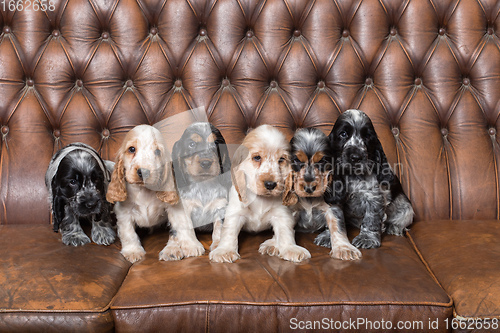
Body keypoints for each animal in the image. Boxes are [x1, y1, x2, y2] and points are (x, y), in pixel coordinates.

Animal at [107, 124, 205, 262]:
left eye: (157, 152)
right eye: (131, 149)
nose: (143, 171)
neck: (144, 191)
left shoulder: (176, 208)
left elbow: (183, 225)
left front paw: (192, 245)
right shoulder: (123, 212)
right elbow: (128, 233)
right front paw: (133, 251)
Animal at [171, 121, 231, 249]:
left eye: (216, 143)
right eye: (192, 144)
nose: (206, 163)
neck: (203, 184)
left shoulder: (220, 207)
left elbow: (218, 228)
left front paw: (218, 246)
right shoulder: (186, 208)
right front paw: (192, 246)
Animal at [209, 124, 310, 262]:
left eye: (281, 159)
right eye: (257, 157)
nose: (270, 184)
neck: (260, 198)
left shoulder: (282, 214)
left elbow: (286, 231)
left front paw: (291, 249)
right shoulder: (235, 212)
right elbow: (229, 231)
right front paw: (225, 251)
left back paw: (272, 245)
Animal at [290, 127, 364, 260]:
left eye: (322, 161)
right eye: (297, 160)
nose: (309, 188)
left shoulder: (333, 208)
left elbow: (337, 227)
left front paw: (344, 248)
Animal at [324, 110, 414, 248]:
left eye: (367, 136)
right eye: (343, 134)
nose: (356, 157)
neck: (354, 175)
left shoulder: (374, 199)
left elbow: (371, 219)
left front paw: (367, 239)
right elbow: (334, 217)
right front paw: (328, 237)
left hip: (407, 208)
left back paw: (394, 227)